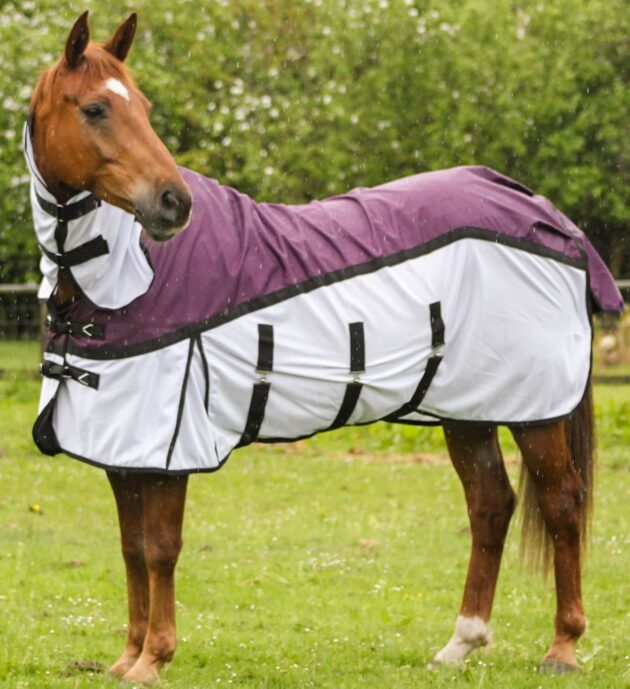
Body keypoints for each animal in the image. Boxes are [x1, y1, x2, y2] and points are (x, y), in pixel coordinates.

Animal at [25, 11, 623, 686]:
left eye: (145, 107)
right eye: (96, 108)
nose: (173, 203)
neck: (125, 273)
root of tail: (548, 214)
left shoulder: (167, 448)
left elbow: (159, 548)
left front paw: (154, 658)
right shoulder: (123, 449)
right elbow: (130, 550)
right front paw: (127, 658)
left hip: (534, 411)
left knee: (562, 502)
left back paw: (563, 646)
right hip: (467, 409)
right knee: (492, 504)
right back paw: (460, 643)